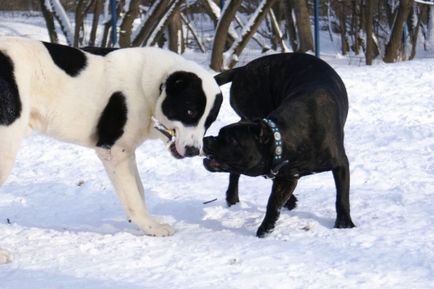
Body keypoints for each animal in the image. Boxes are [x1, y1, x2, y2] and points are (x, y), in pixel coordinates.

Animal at [0, 37, 222, 262]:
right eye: (190, 111)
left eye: (209, 121)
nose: (194, 151)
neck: (151, 87)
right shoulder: (115, 151)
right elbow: (134, 196)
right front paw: (153, 227)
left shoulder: (127, 152)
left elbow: (138, 190)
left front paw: (144, 224)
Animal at [202, 52, 354, 236]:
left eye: (230, 140)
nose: (206, 139)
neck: (286, 137)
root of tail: (242, 69)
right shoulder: (286, 175)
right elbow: (273, 204)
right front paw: (265, 229)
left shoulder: (339, 165)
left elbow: (342, 196)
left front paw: (344, 223)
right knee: (236, 174)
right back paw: (233, 197)